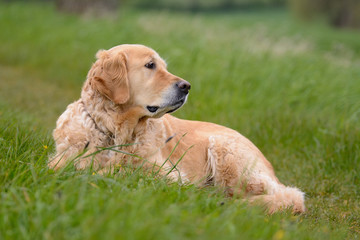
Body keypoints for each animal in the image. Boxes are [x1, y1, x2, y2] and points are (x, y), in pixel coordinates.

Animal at [50, 44, 304, 214]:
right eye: (150, 65)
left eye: (163, 66)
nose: (187, 86)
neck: (116, 132)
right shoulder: (59, 158)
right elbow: (69, 166)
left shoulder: (169, 175)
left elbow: (123, 171)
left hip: (224, 150)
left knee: (289, 196)